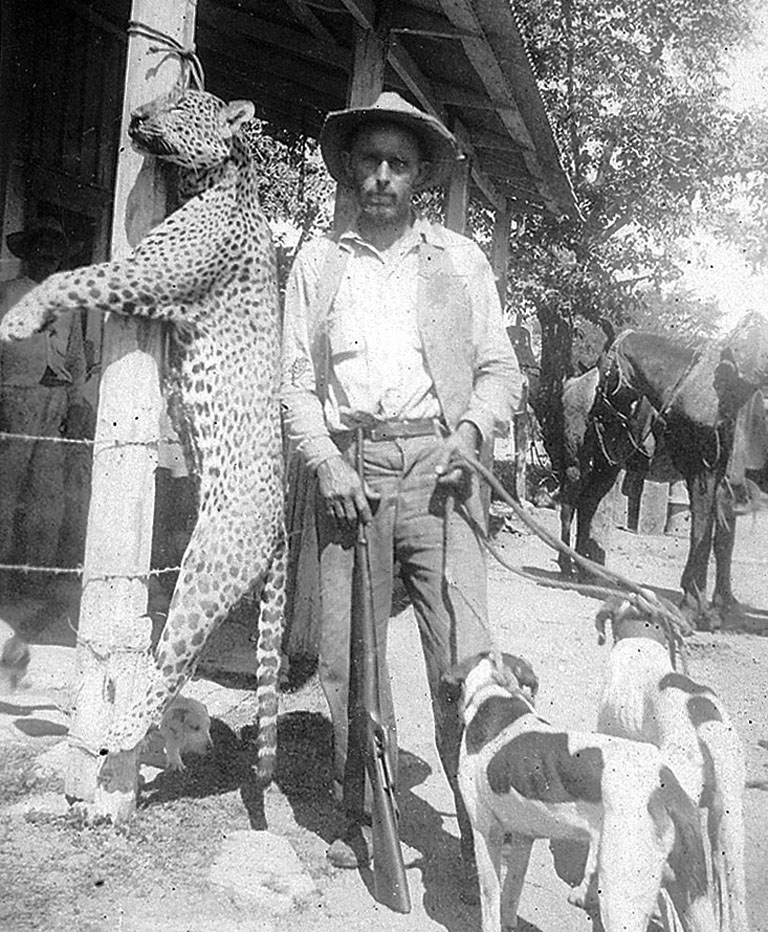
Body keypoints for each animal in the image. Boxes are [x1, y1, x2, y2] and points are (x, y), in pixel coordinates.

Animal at [450, 652, 720, 932]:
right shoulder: (525, 837)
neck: (494, 693)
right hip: (692, 898)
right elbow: (511, 895)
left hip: (620, 902)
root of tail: (665, 787)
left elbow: (490, 903)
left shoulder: (486, 832)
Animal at [560, 314, 768, 632]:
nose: (598, 413)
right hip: (581, 462)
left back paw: (587, 571)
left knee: (586, 505)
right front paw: (697, 607)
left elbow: (714, 540)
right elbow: (706, 538)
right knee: (569, 505)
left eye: (606, 369)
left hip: (607, 466)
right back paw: (567, 565)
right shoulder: (706, 476)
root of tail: (573, 383)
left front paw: (715, 606)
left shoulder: (715, 479)